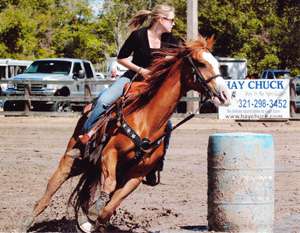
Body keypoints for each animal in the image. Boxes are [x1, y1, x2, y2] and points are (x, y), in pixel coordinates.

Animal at [27, 36, 231, 231]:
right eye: (201, 63)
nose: (225, 95)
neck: (147, 120)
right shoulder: (109, 154)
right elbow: (108, 186)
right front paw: (93, 211)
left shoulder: (136, 175)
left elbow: (108, 209)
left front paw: (92, 220)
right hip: (73, 159)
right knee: (52, 187)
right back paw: (27, 221)